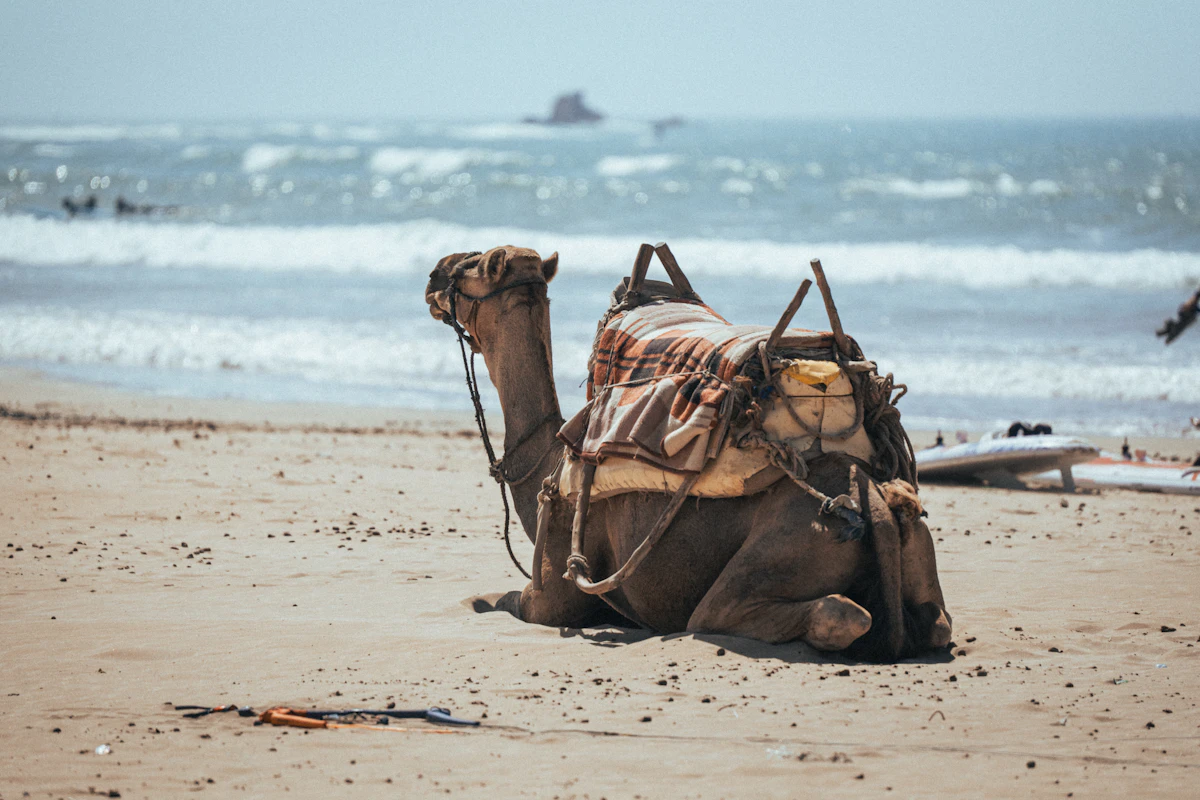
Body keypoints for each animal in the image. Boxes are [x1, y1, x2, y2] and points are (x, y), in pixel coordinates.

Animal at [426, 245, 952, 660]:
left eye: (472, 264)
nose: (434, 273)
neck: (550, 469)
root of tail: (874, 502)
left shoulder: (550, 597)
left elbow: (500, 600)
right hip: (914, 540)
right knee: (936, 624)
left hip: (779, 554)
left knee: (813, 613)